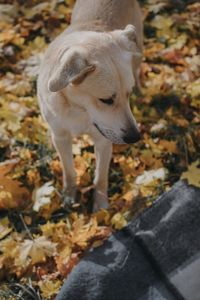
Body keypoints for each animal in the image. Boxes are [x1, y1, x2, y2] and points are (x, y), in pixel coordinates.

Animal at [37, 0, 143, 211]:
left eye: (128, 94)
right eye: (106, 100)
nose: (135, 137)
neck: (78, 109)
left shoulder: (103, 141)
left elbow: (100, 177)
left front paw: (100, 207)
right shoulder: (60, 137)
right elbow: (68, 170)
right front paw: (69, 195)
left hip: (137, 47)